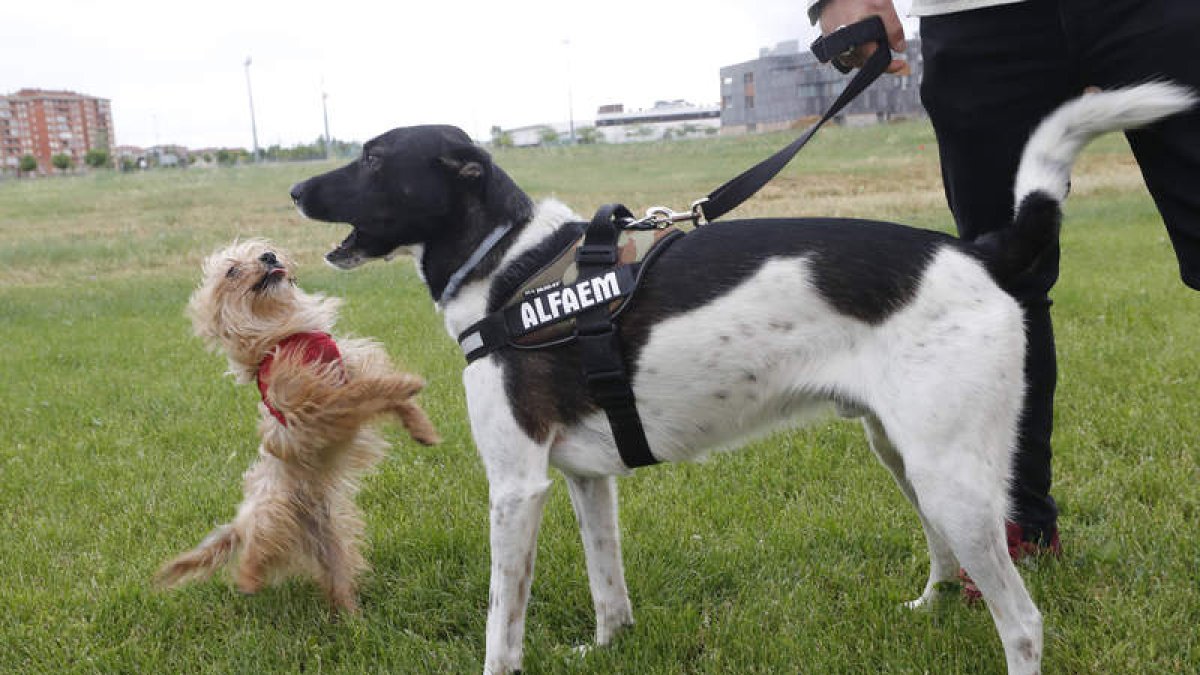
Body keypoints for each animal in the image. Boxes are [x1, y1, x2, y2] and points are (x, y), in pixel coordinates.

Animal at [156, 239, 441, 612]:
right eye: (232, 270)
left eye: (263, 250)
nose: (269, 257)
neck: (284, 332)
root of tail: (240, 522)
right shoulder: (317, 403)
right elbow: (368, 389)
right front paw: (407, 383)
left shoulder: (347, 373)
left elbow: (384, 394)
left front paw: (421, 427)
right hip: (271, 513)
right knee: (253, 553)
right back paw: (248, 581)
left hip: (329, 538)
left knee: (335, 576)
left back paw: (351, 615)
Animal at [290, 81, 1200, 667]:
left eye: (372, 159)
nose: (296, 188)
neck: (511, 270)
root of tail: (979, 252)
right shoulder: (584, 479)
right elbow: (608, 586)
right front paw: (607, 646)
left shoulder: (517, 486)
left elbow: (499, 626)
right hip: (902, 453)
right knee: (948, 560)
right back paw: (928, 604)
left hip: (952, 477)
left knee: (1024, 622)